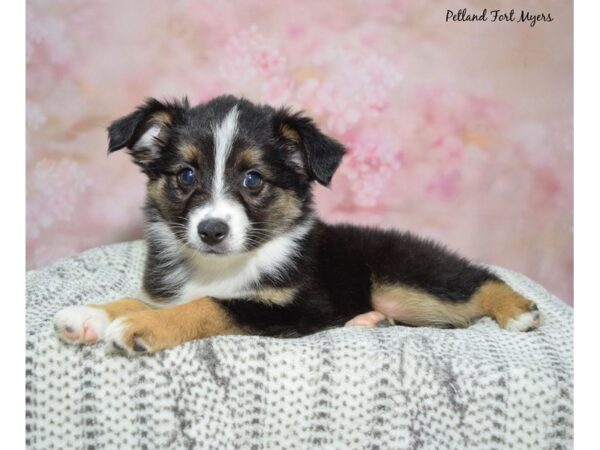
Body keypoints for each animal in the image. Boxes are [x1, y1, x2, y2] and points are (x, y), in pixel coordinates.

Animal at [54, 95, 540, 356]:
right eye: (186, 175)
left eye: (253, 179)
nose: (211, 231)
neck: (222, 265)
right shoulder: (170, 289)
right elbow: (140, 300)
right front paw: (91, 315)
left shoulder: (298, 306)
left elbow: (209, 305)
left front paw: (140, 329)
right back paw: (368, 321)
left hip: (407, 279)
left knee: (476, 280)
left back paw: (519, 310)